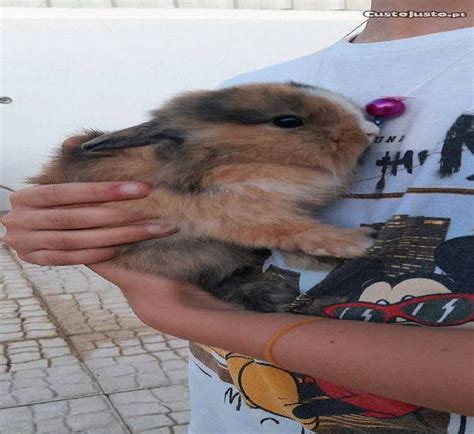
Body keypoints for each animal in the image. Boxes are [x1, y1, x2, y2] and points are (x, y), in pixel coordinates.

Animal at [28, 82, 378, 312]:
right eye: (288, 121)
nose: (371, 131)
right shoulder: (240, 215)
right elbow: (294, 231)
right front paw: (354, 243)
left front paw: (325, 259)